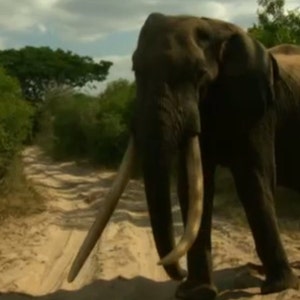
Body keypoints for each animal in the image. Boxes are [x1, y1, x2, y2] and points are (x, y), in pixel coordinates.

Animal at [68, 12, 300, 298]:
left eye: (199, 74)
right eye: (135, 70)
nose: (178, 272)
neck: (213, 26)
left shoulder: (259, 109)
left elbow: (254, 179)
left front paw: (277, 287)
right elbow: (193, 188)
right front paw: (196, 291)